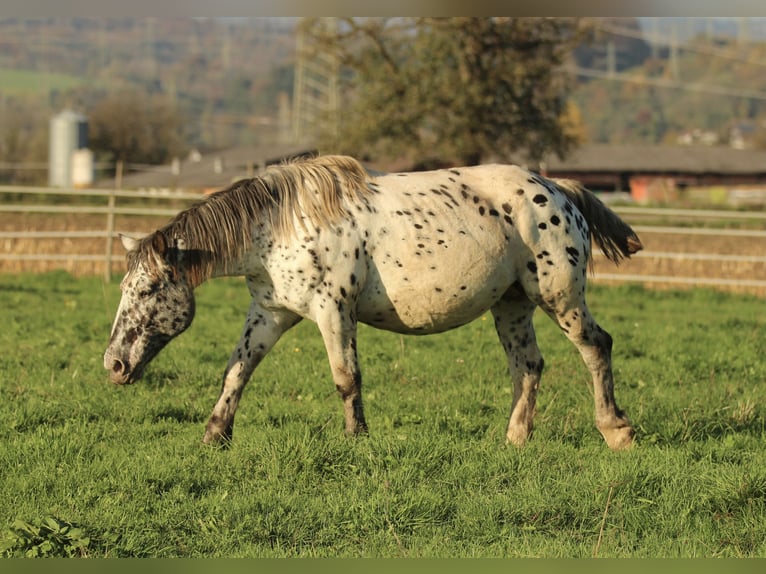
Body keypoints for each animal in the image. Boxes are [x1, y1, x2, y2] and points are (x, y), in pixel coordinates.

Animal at [105, 155, 644, 452]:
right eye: (124, 288)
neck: (281, 225)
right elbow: (236, 371)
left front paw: (357, 439)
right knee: (528, 366)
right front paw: (215, 435)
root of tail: (558, 190)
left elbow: (346, 379)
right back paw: (514, 439)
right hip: (512, 305)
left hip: (559, 296)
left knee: (596, 347)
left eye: (149, 290)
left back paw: (615, 431)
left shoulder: (332, 311)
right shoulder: (270, 313)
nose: (114, 365)